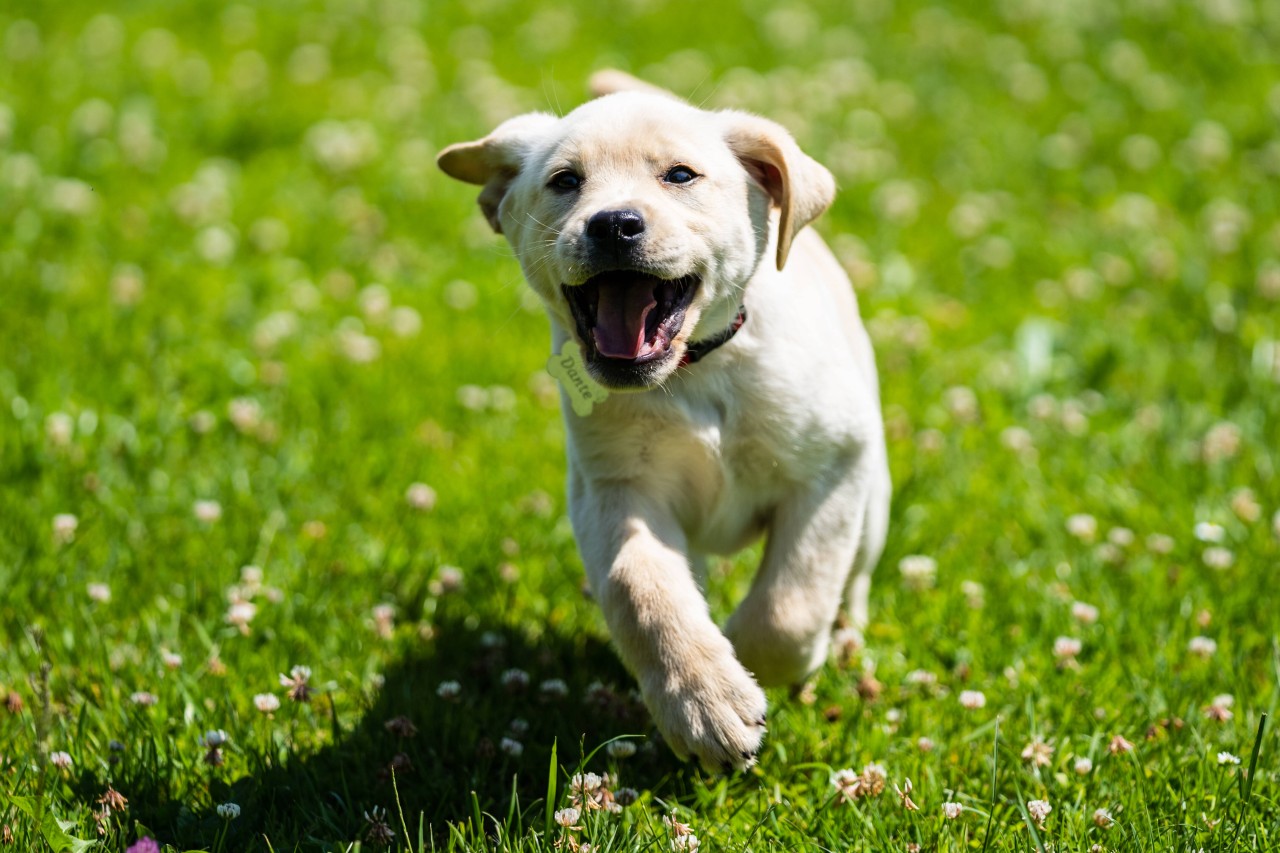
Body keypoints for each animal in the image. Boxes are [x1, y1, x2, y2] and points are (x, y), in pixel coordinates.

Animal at [440, 69, 890, 768]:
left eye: (680, 176)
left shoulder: (834, 468)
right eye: (565, 180)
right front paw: (706, 700)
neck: (695, 372)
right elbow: (641, 586)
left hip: (873, 503)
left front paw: (752, 664)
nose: (613, 224)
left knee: (853, 582)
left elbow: (790, 603)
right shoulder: (612, 491)